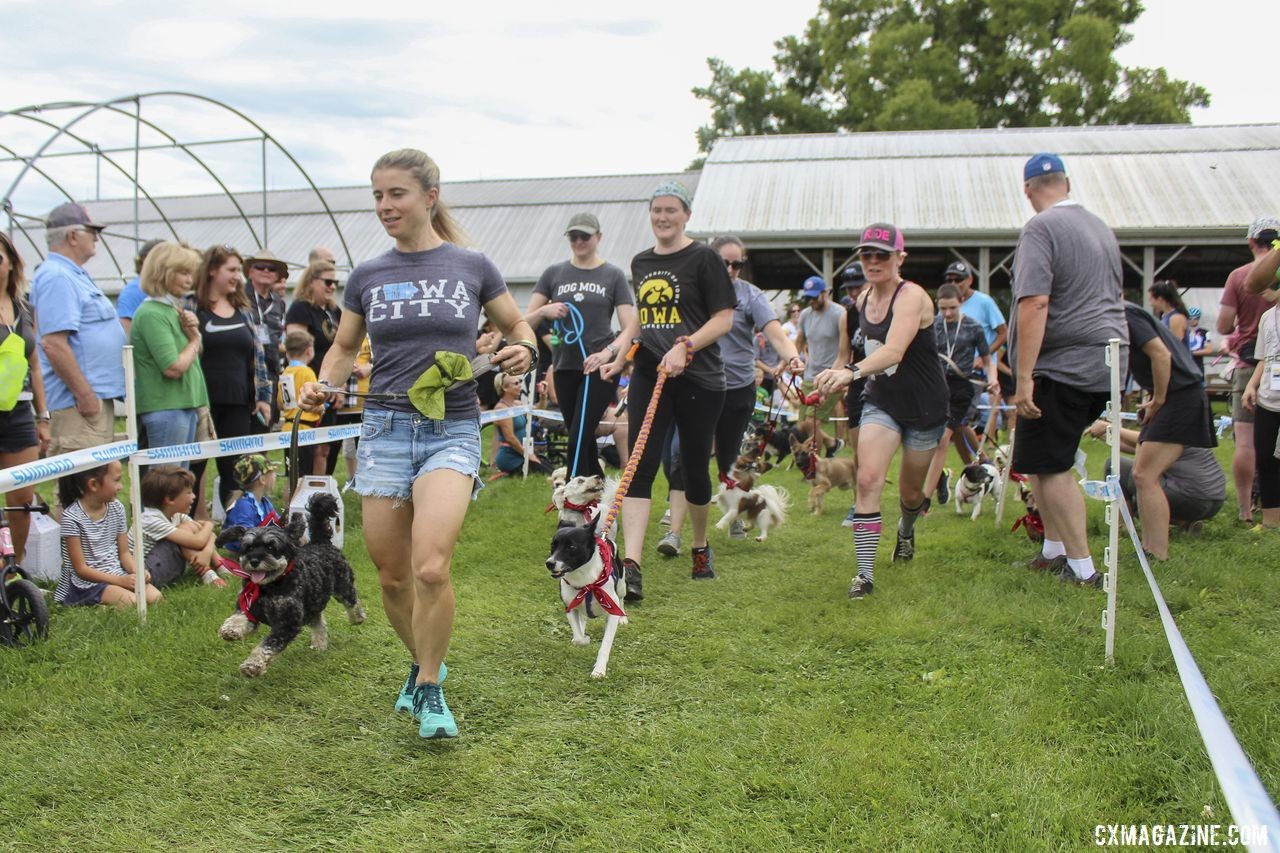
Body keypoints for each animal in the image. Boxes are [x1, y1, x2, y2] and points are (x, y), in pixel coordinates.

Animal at [216, 489, 366, 676]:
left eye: (271, 547)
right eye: (248, 547)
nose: (254, 561)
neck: (270, 587)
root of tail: (320, 541)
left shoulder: (287, 624)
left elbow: (266, 646)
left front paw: (252, 665)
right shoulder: (250, 609)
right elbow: (238, 617)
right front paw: (230, 630)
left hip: (342, 584)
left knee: (352, 599)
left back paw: (357, 617)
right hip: (313, 602)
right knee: (319, 622)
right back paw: (319, 644)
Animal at [542, 512, 627, 676]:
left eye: (572, 547)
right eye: (552, 545)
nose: (549, 563)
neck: (586, 582)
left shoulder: (611, 610)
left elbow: (605, 645)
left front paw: (599, 670)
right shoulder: (570, 607)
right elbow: (578, 636)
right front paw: (583, 639)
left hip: (621, 585)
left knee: (621, 599)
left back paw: (624, 617)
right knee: (583, 618)